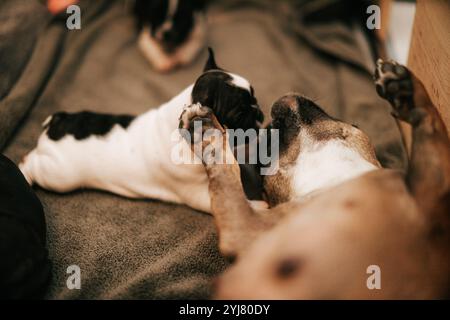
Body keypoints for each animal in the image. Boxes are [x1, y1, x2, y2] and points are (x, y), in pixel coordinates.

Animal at [20, 48, 264, 212]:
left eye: (255, 98)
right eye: (240, 115)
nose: (260, 114)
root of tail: (56, 123)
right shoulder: (199, 193)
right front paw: (261, 208)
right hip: (58, 174)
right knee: (32, 163)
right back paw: (24, 172)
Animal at [179, 60, 450, 300]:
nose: (285, 98)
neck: (336, 178)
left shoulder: (245, 226)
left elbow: (225, 167)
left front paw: (204, 127)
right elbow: (432, 120)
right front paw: (404, 89)